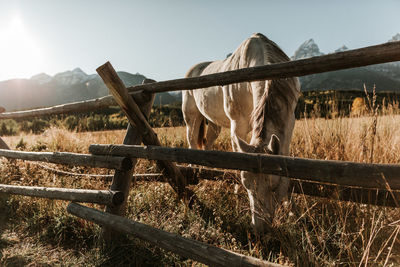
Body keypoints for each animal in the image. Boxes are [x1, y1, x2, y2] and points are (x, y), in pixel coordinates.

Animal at [182, 33, 300, 234]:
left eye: (274, 185)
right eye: (247, 184)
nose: (260, 229)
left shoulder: (288, 123)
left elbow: (285, 157)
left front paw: (291, 209)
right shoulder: (237, 125)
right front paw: (237, 192)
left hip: (214, 124)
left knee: (207, 144)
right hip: (192, 117)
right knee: (191, 142)